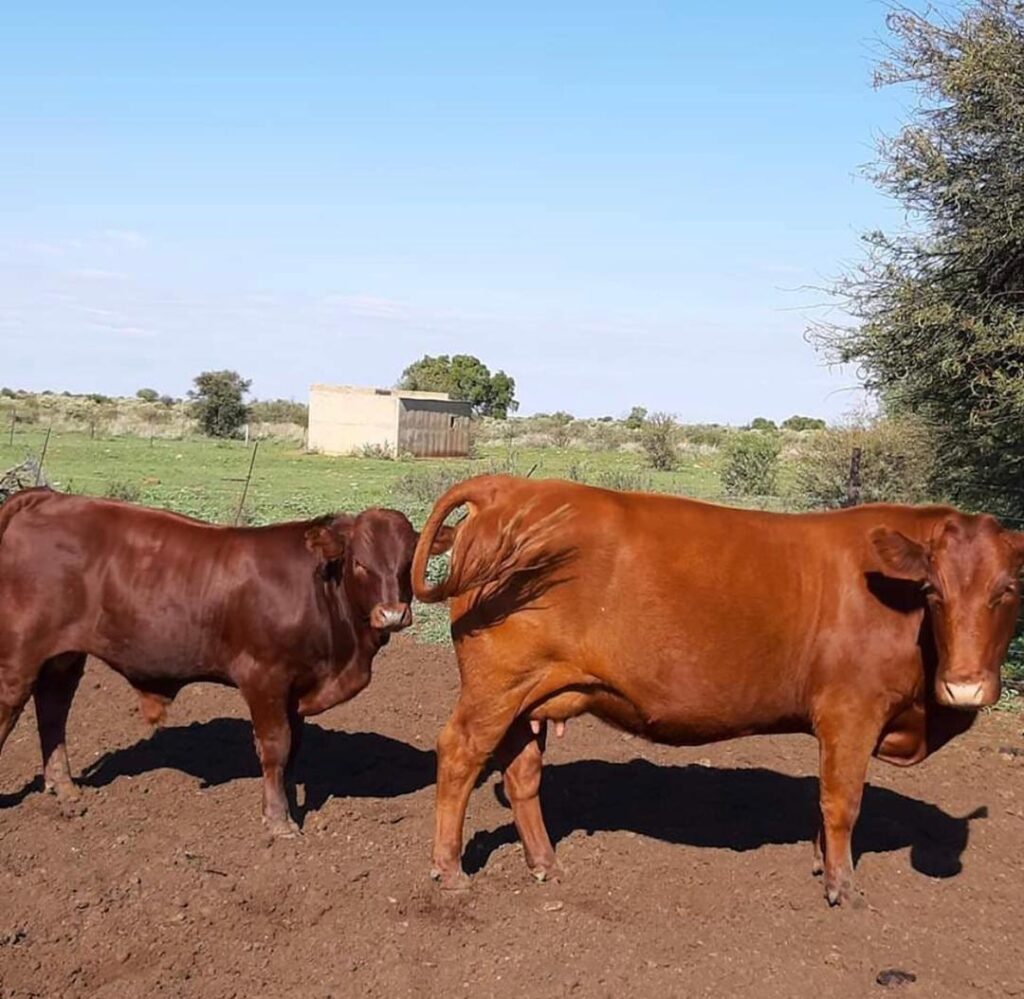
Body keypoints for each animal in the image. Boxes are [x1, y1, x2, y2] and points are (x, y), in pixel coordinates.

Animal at [0, 491, 452, 835]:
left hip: (63, 656)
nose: (392, 614)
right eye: (360, 562)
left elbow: (295, 748)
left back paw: (64, 787)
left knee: (53, 710)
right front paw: (279, 821)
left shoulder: (296, 687)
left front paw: (287, 801)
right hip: (19, 655)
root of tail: (47, 496)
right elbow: (275, 746)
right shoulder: (264, 678)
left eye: (409, 562)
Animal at [409, 476, 1024, 904]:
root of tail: (510, 487)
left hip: (529, 694)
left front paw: (822, 863)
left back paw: (546, 863)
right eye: (933, 591)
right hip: (496, 686)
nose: (964, 686)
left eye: (1009, 590)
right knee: (459, 754)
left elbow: (824, 802)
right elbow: (842, 802)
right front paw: (842, 887)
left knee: (522, 773)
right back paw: (450, 871)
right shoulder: (851, 712)